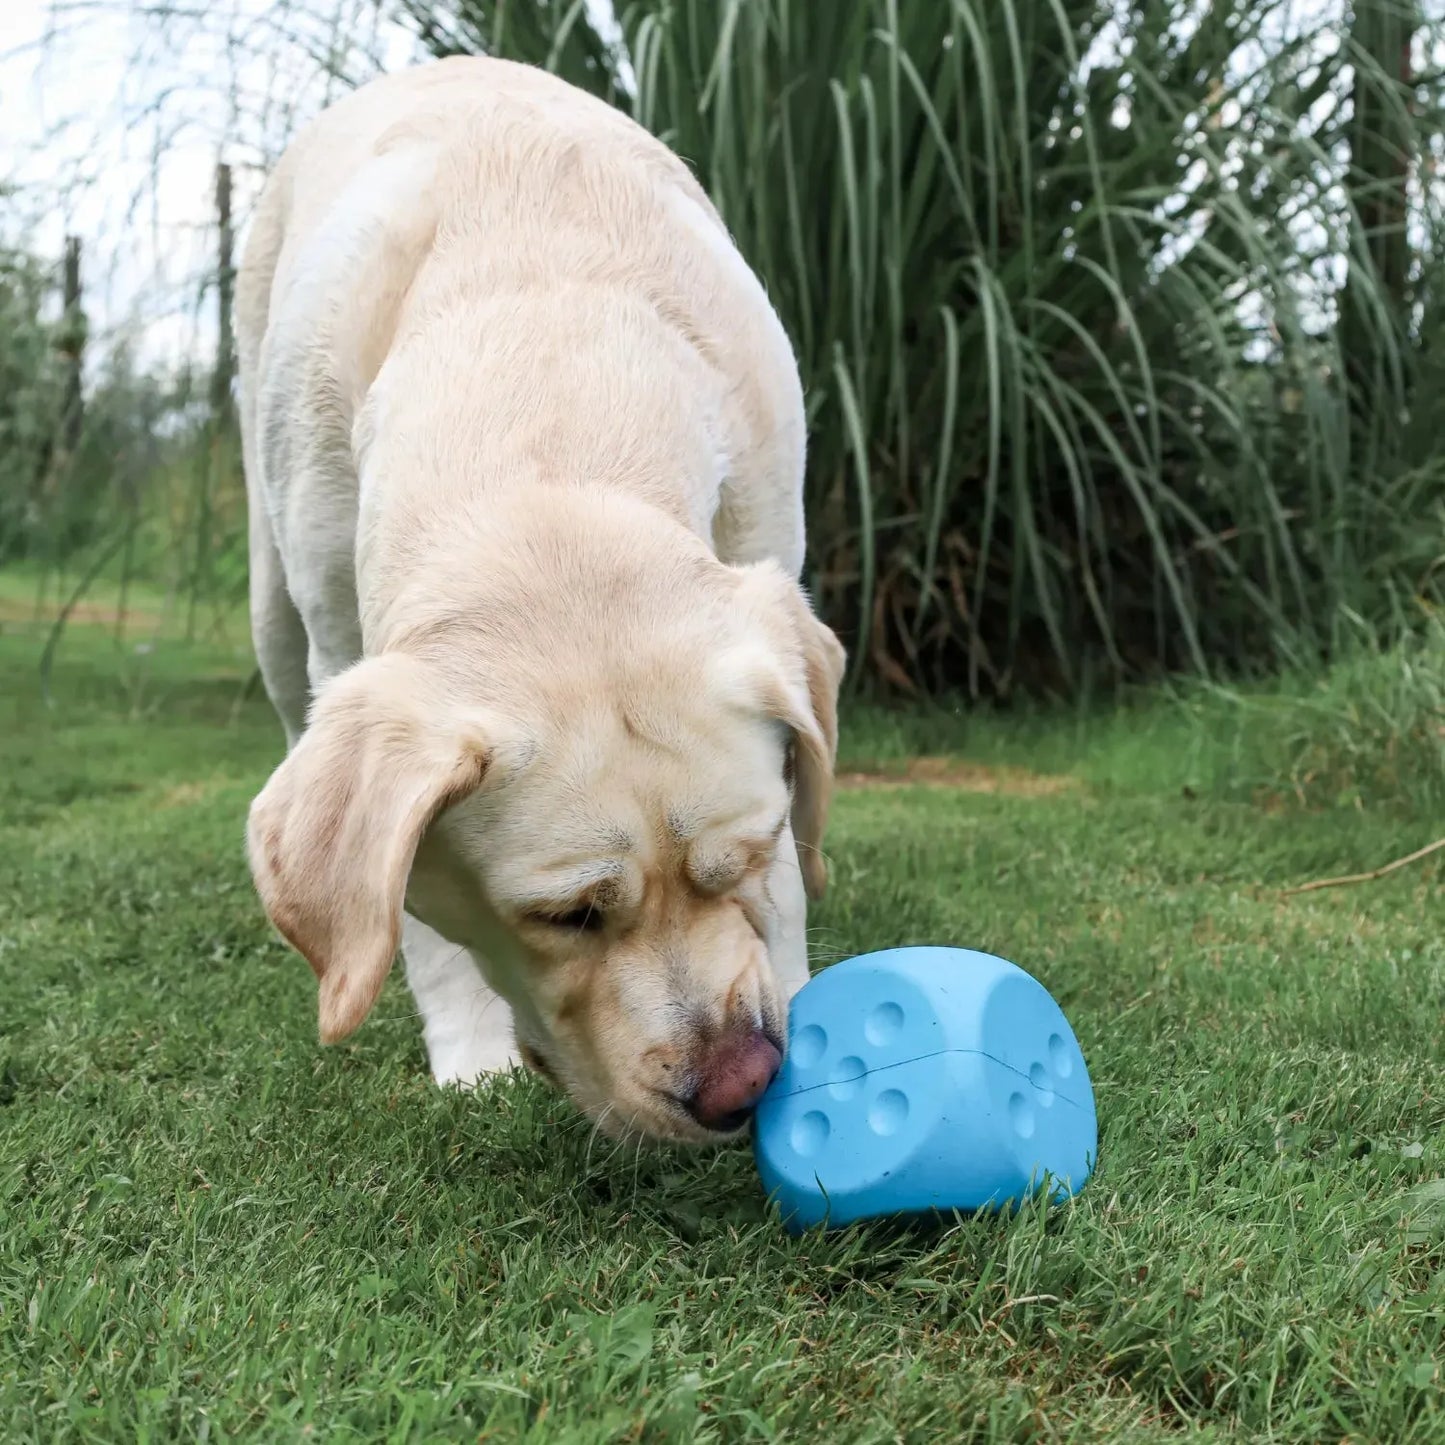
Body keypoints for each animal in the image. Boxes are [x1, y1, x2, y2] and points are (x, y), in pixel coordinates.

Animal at [236, 53, 843, 1138]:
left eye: (749, 850)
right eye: (568, 915)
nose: (742, 1087)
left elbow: (786, 874)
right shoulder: (345, 648)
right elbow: (410, 916)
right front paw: (473, 1056)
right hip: (271, 597)